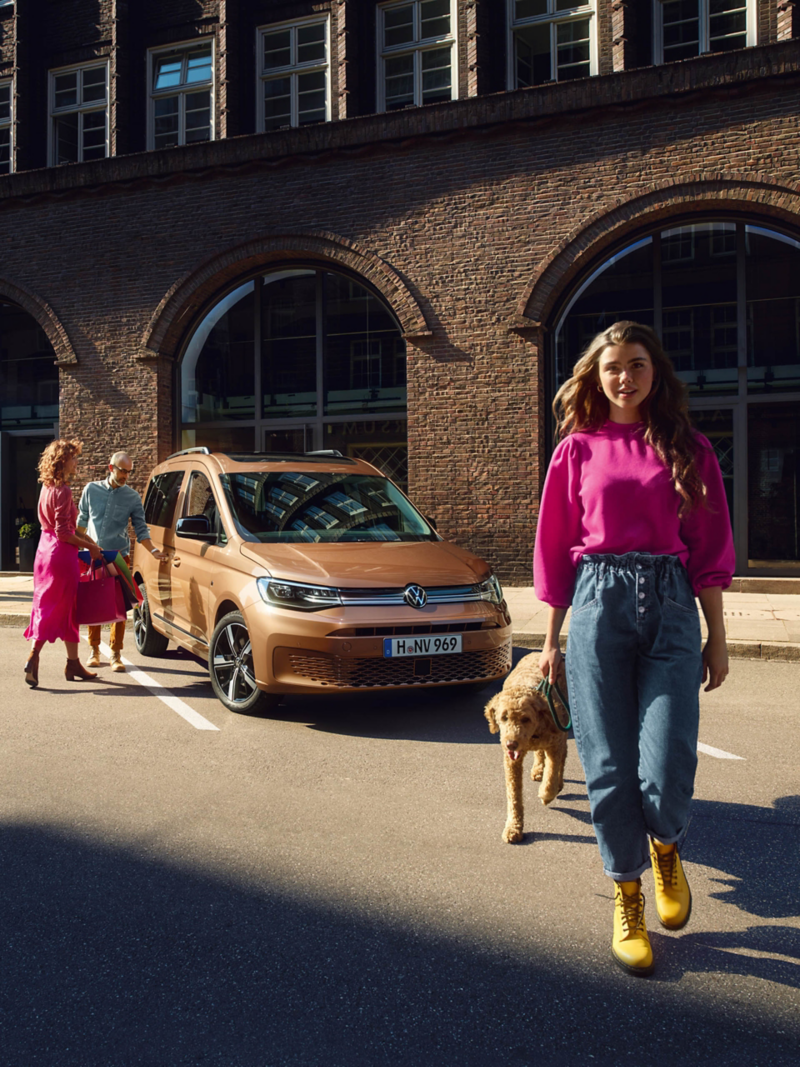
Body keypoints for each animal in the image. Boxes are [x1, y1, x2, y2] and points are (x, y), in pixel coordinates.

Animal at [482, 648, 571, 840]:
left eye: (526, 719)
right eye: (503, 717)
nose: (510, 744)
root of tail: (538, 652)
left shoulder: (555, 744)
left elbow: (551, 773)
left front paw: (546, 794)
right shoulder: (511, 761)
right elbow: (513, 795)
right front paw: (513, 827)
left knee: (562, 758)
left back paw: (558, 783)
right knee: (540, 753)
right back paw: (538, 769)